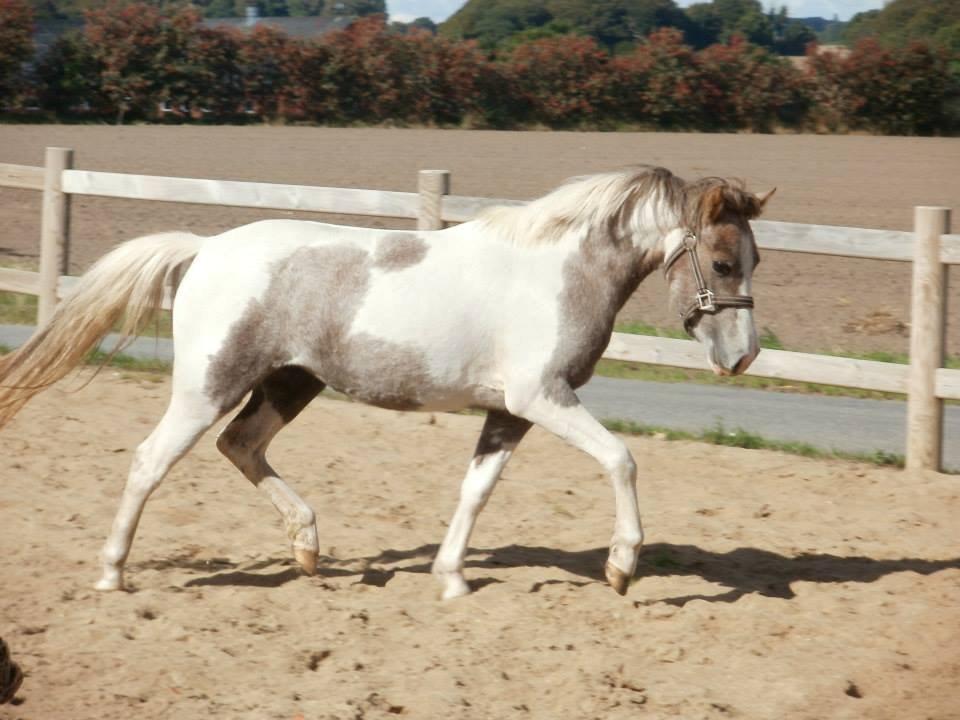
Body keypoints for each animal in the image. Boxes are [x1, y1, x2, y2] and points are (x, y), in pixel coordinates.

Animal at [0, 166, 772, 600]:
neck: (558, 271)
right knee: (150, 462)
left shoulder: (512, 411)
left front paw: (452, 578)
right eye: (724, 262)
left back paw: (309, 551)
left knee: (241, 447)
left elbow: (476, 490)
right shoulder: (543, 396)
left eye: (754, 260)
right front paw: (621, 567)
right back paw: (112, 573)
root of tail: (204, 249)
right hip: (208, 386)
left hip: (289, 384)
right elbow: (621, 458)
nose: (743, 357)